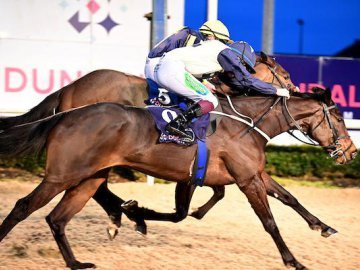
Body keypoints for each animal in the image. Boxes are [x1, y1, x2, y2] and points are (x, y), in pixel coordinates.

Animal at [0, 87, 356, 268]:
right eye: (339, 117)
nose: (351, 152)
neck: (247, 123)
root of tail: (64, 115)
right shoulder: (246, 179)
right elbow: (269, 222)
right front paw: (293, 260)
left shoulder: (251, 173)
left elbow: (289, 197)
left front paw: (323, 227)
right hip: (61, 175)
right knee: (23, 207)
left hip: (88, 177)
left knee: (58, 218)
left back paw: (78, 261)